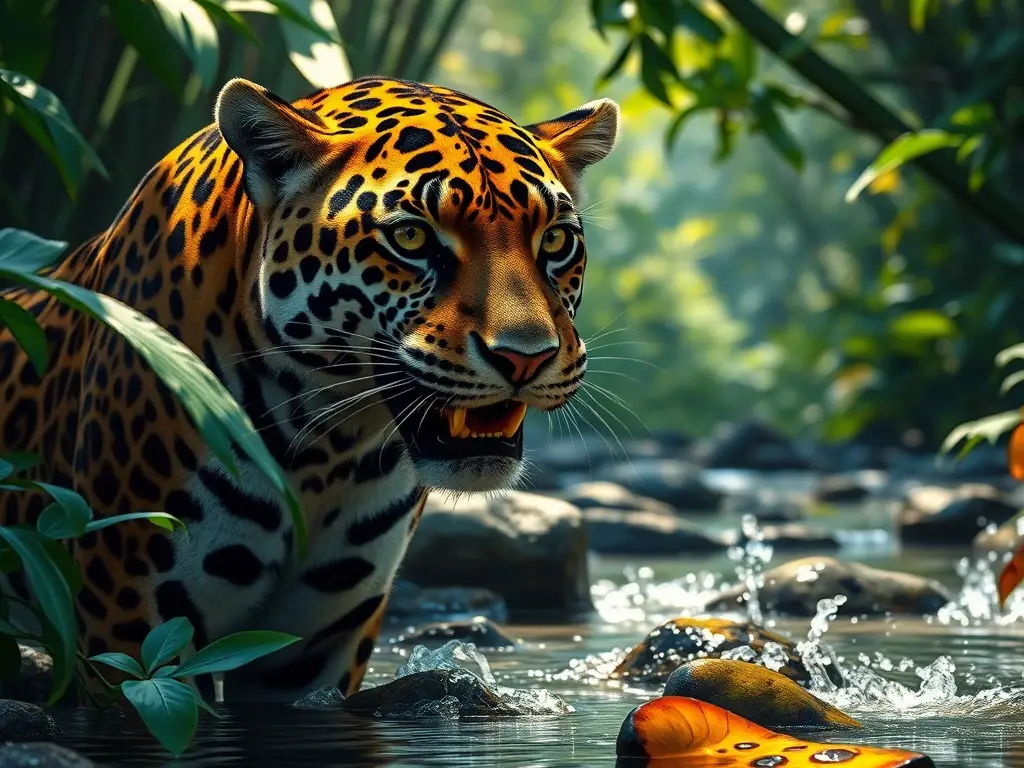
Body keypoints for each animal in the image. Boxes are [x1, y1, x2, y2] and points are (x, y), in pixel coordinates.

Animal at [0, 75, 619, 702]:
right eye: (412, 237)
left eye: (556, 241)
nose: (525, 358)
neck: (326, 445)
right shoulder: (129, 618)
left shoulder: (310, 649)